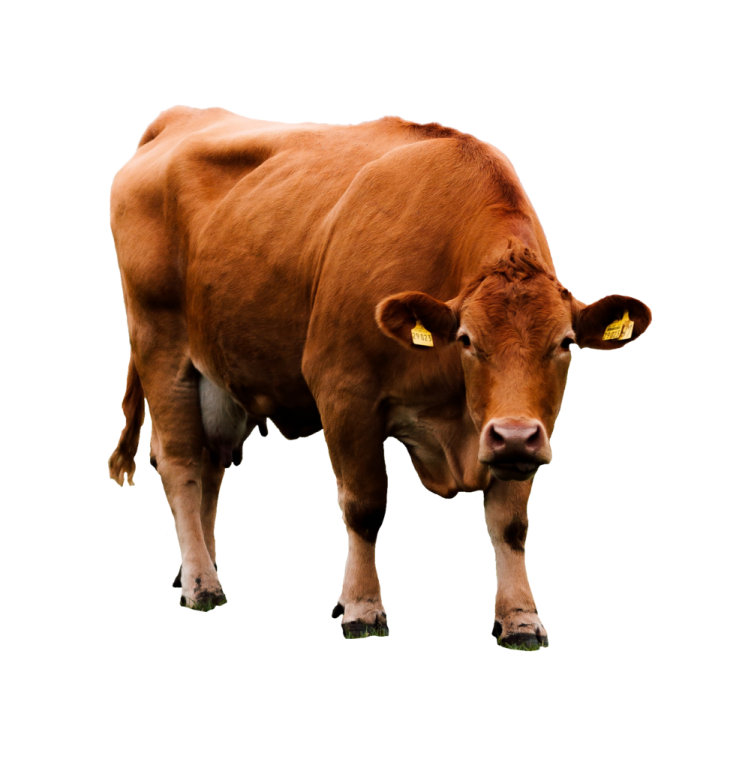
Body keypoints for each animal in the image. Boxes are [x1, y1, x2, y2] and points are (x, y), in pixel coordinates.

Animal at [108, 106, 652, 648]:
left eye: (564, 344)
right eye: (466, 340)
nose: (514, 435)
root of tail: (180, 117)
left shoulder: (518, 432)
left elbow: (510, 523)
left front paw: (520, 617)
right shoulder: (344, 391)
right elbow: (365, 507)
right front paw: (362, 608)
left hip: (219, 374)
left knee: (210, 468)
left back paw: (199, 569)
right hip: (162, 345)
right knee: (180, 464)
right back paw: (201, 585)